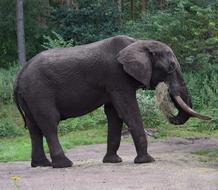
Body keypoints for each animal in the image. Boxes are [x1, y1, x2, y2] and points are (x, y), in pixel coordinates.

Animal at [13, 35, 209, 168]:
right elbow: (128, 111)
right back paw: (64, 164)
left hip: (29, 96)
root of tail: (18, 77)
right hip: (39, 92)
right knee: (49, 123)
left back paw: (41, 164)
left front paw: (113, 161)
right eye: (171, 67)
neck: (138, 43)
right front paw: (146, 161)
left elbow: (114, 115)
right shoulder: (117, 78)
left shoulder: (113, 84)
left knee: (34, 128)